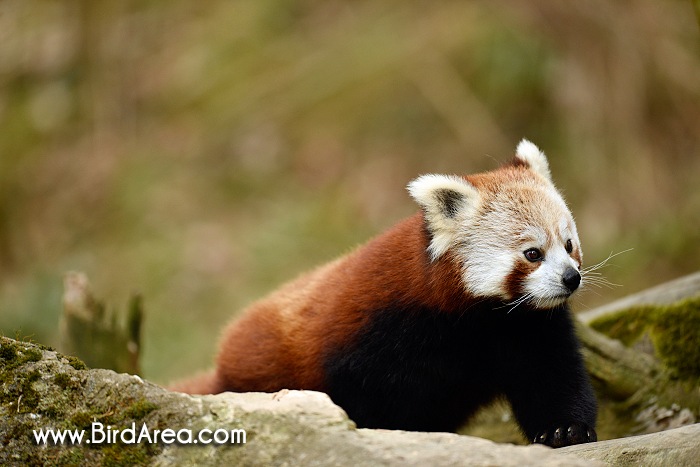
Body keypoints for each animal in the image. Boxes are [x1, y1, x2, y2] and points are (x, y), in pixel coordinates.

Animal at [171, 141, 596, 448]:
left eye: (569, 244)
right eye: (532, 254)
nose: (571, 278)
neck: (475, 318)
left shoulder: (528, 328)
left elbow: (552, 375)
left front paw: (564, 431)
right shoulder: (380, 333)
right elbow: (376, 403)